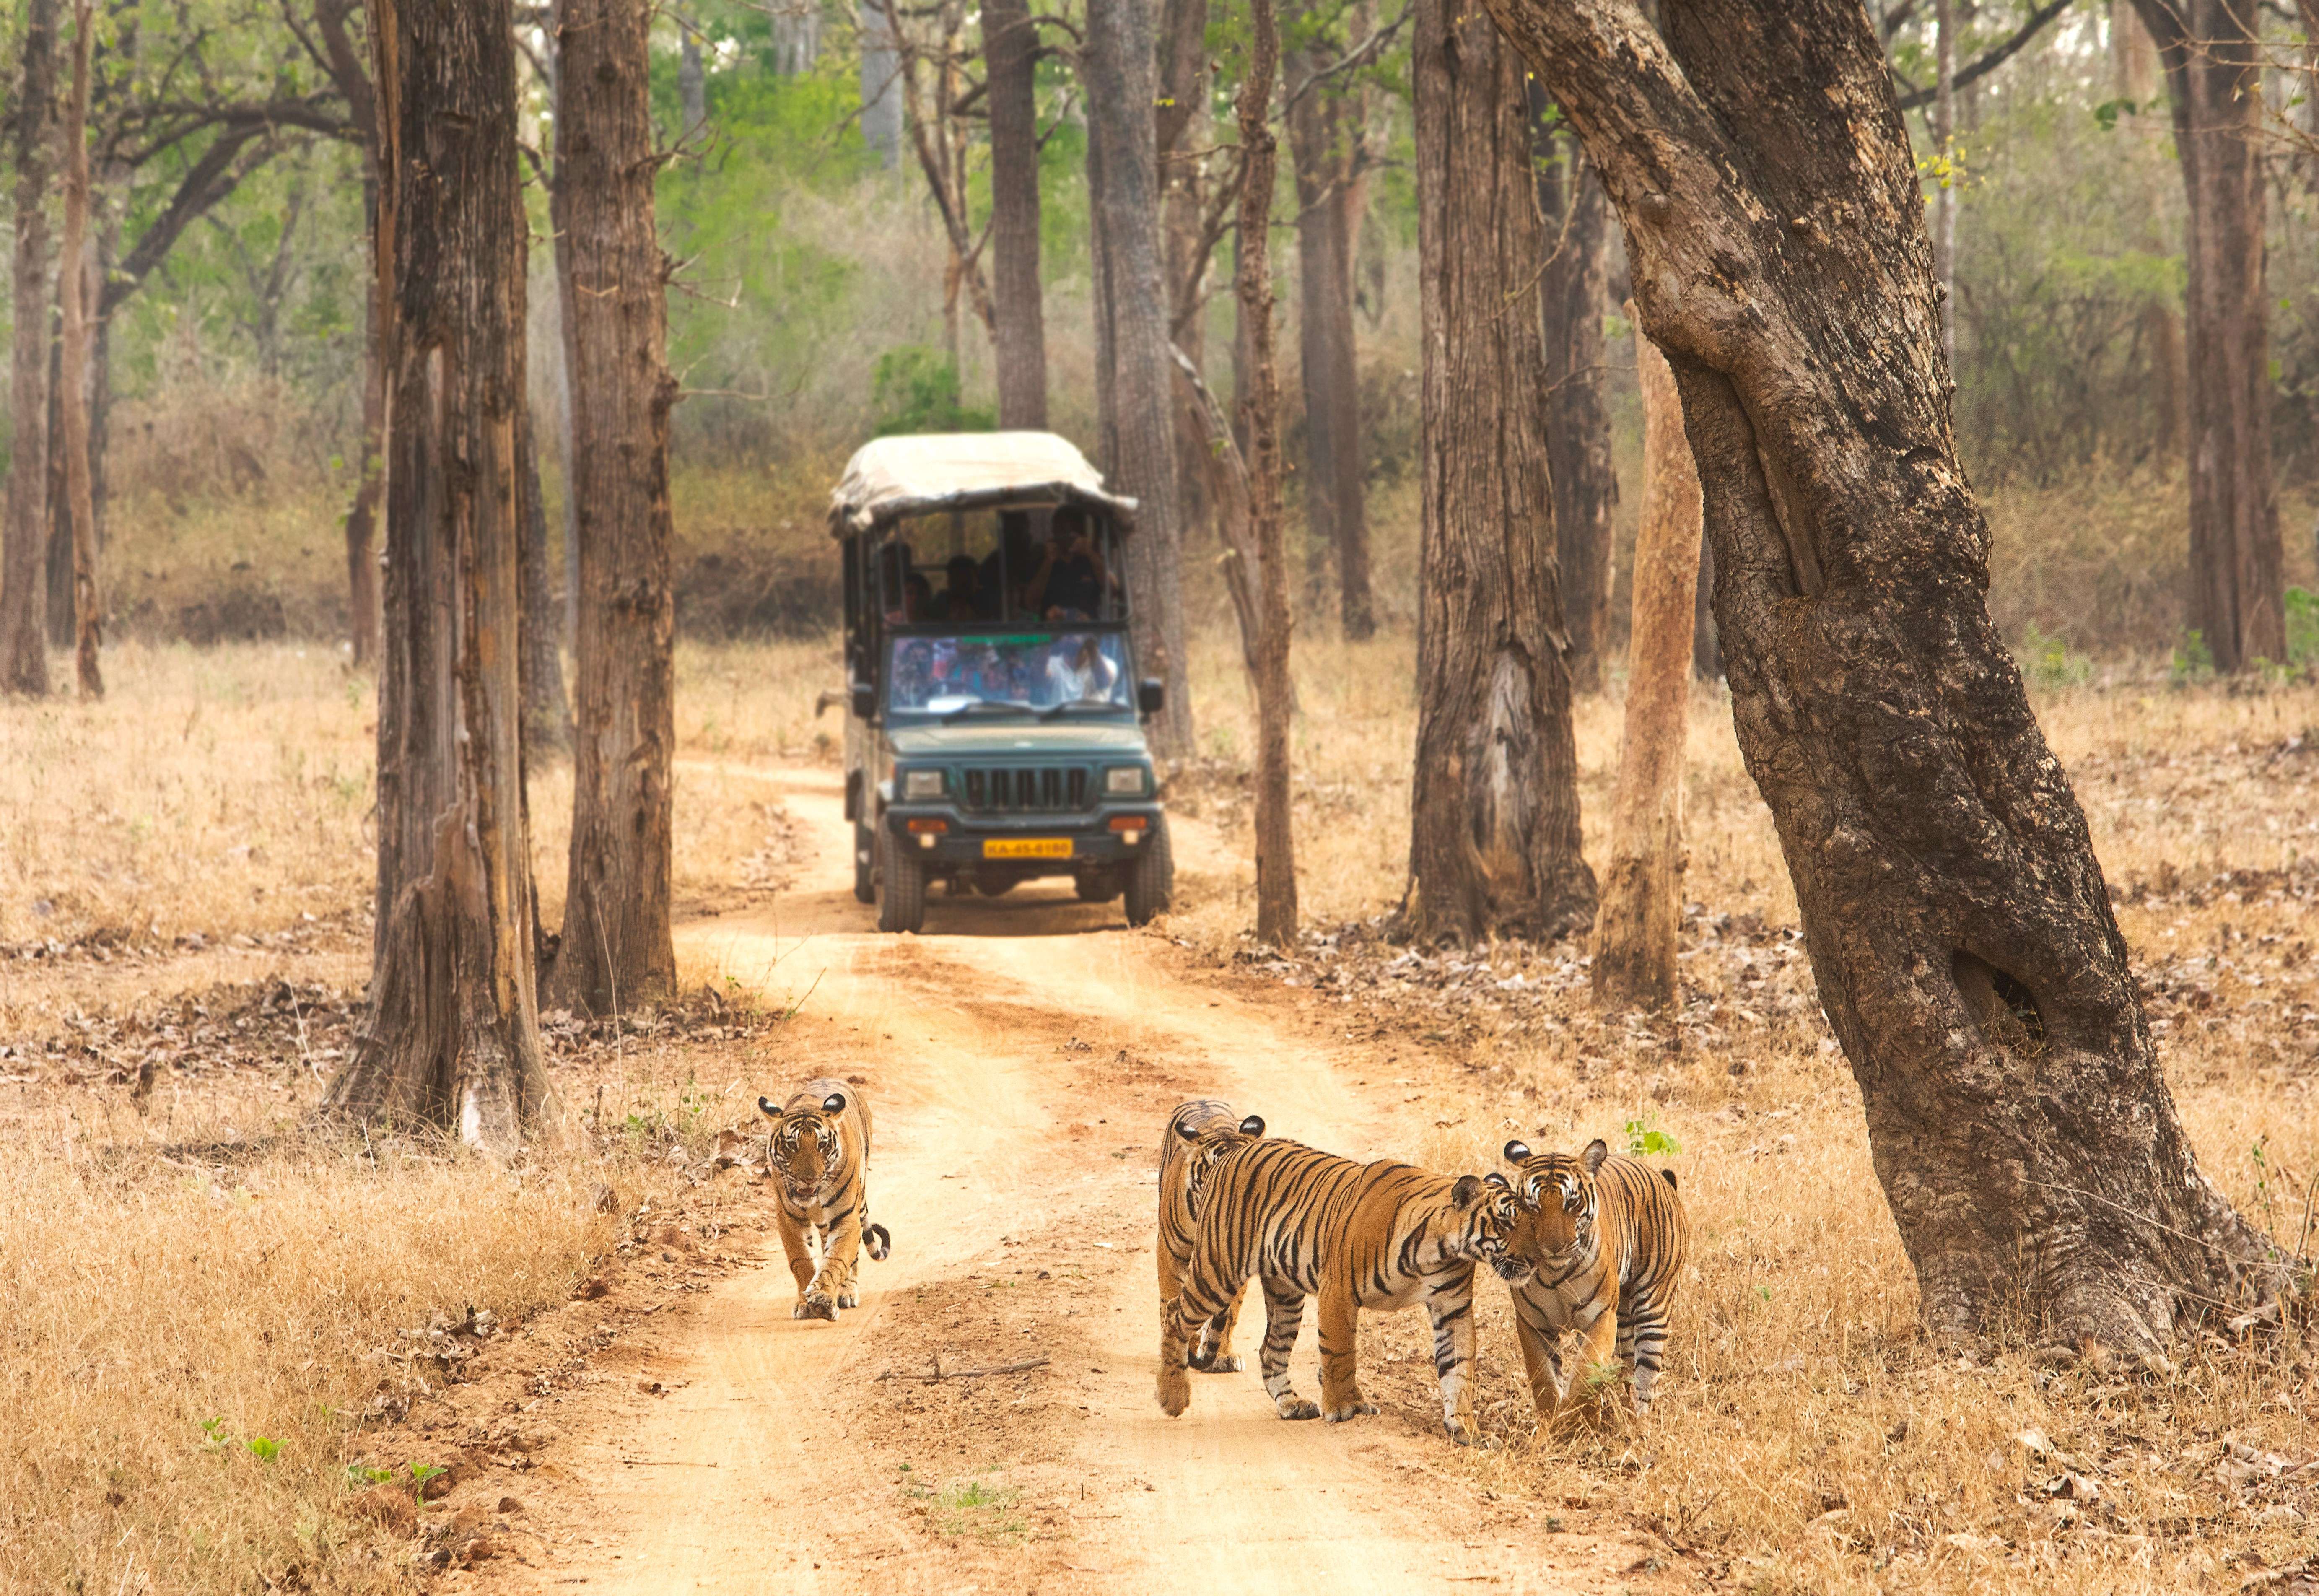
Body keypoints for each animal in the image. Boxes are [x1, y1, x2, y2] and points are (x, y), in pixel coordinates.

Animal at [757, 1080, 891, 1322]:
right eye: (792, 1145)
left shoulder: (847, 1218)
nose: (809, 1179)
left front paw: (823, 1298)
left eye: (822, 1145)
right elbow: (802, 1261)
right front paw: (806, 1303)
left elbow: (837, 1259)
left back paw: (847, 1292)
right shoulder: (789, 1220)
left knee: (851, 1259)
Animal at [1155, 1136, 1532, 1445]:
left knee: (1270, 1351)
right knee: (1174, 1313)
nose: (1536, 1257)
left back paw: (1292, 1403)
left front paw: (1465, 1428)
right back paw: (1172, 1396)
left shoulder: (1452, 1308)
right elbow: (1340, 1354)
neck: (1443, 1248)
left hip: (1285, 1295)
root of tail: (1232, 1152)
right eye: (1506, 1222)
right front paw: (1341, 1408)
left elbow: (1459, 1368)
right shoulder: (1338, 1290)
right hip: (1217, 1270)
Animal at [1500, 1137, 1688, 1425]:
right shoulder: (1533, 1324)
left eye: (1571, 1203)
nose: (1552, 1247)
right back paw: (1621, 1410)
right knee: (1627, 1364)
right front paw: (1554, 1424)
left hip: (1654, 1302)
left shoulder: (1600, 1318)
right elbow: (1545, 1382)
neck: (1555, 1273)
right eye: (1533, 1206)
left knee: (1646, 1370)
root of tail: (1663, 1180)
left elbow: (1585, 1374)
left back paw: (1639, 1421)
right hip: (1623, 1317)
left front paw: (1574, 1423)